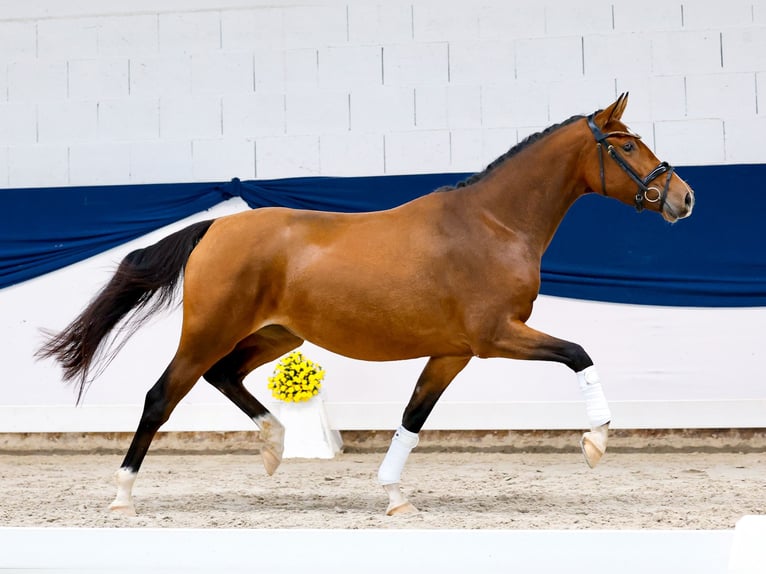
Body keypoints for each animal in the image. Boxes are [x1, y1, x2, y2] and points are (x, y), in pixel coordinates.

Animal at [37, 94, 695, 516]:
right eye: (626, 144)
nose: (683, 198)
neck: (492, 224)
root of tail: (214, 229)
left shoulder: (453, 352)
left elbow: (412, 417)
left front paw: (395, 496)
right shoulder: (495, 336)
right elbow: (580, 353)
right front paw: (596, 442)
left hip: (278, 336)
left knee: (224, 376)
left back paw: (275, 446)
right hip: (209, 330)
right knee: (161, 395)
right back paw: (123, 495)